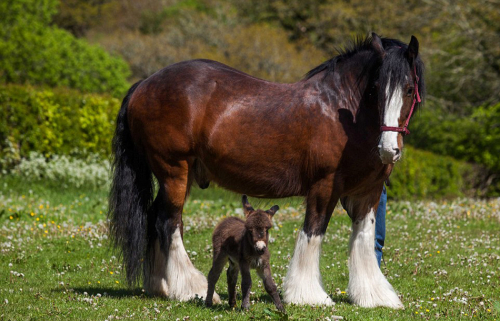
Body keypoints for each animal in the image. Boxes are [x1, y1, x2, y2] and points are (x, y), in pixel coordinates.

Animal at [107, 32, 424, 308]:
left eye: (409, 89)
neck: (341, 110)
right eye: (375, 89)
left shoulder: (368, 191)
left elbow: (364, 238)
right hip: (175, 171)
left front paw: (374, 295)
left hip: (176, 177)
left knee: (157, 219)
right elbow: (313, 231)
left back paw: (162, 286)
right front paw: (308, 295)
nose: (388, 149)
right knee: (168, 223)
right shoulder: (324, 185)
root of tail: (144, 84)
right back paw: (188, 287)